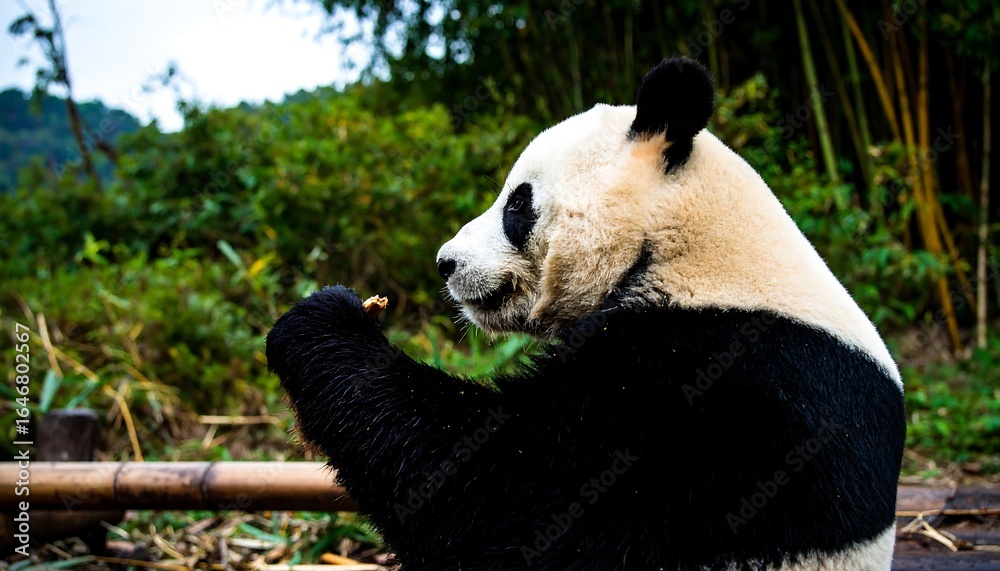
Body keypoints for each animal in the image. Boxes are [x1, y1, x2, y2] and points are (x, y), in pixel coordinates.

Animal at [266, 57, 906, 570]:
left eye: (517, 204)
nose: (446, 263)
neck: (687, 246)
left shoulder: (724, 389)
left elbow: (510, 495)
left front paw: (320, 320)